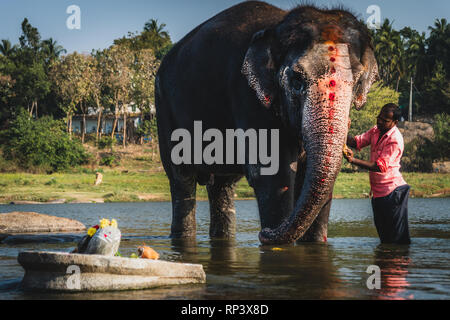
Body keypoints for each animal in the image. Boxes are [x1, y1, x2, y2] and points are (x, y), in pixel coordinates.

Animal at [156, 0, 378, 245]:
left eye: (356, 82)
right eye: (296, 81)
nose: (263, 233)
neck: (279, 26)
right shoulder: (247, 94)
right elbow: (274, 176)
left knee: (222, 185)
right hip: (164, 108)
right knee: (181, 180)